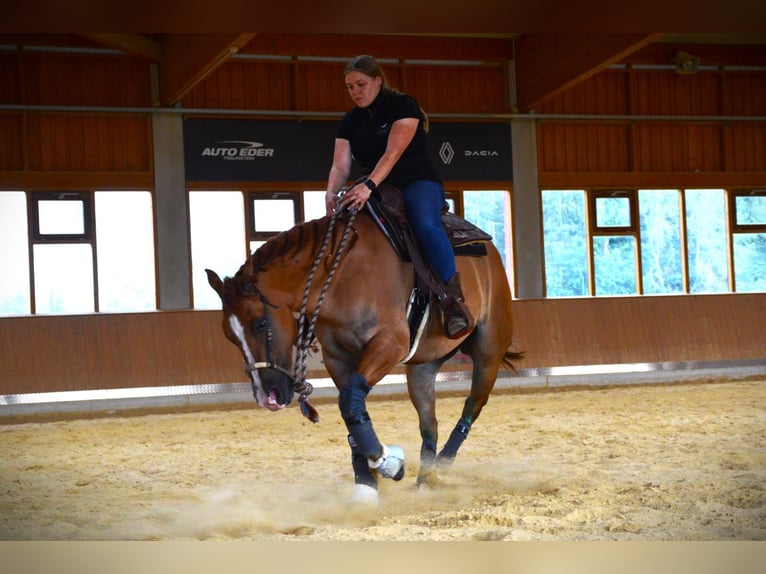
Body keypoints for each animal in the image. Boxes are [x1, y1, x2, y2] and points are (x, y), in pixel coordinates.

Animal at [207, 205, 520, 502]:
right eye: (230, 336)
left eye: (260, 323)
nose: (266, 397)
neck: (340, 276)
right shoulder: (338, 359)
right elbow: (353, 409)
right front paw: (368, 480)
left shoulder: (389, 344)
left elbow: (351, 402)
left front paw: (387, 463)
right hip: (423, 365)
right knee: (429, 423)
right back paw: (426, 478)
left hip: (488, 352)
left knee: (472, 407)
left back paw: (443, 463)